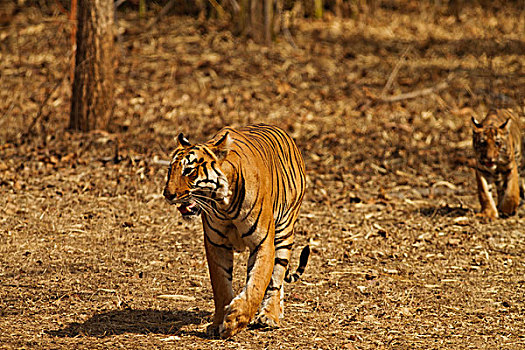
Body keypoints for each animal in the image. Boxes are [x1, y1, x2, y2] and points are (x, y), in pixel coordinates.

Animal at [163, 123, 308, 340]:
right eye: (170, 170)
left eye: (188, 170)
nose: (167, 194)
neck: (224, 204)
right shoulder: (216, 244)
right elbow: (221, 286)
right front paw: (218, 323)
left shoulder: (263, 242)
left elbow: (257, 284)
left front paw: (234, 321)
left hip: (284, 230)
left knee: (276, 277)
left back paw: (270, 315)